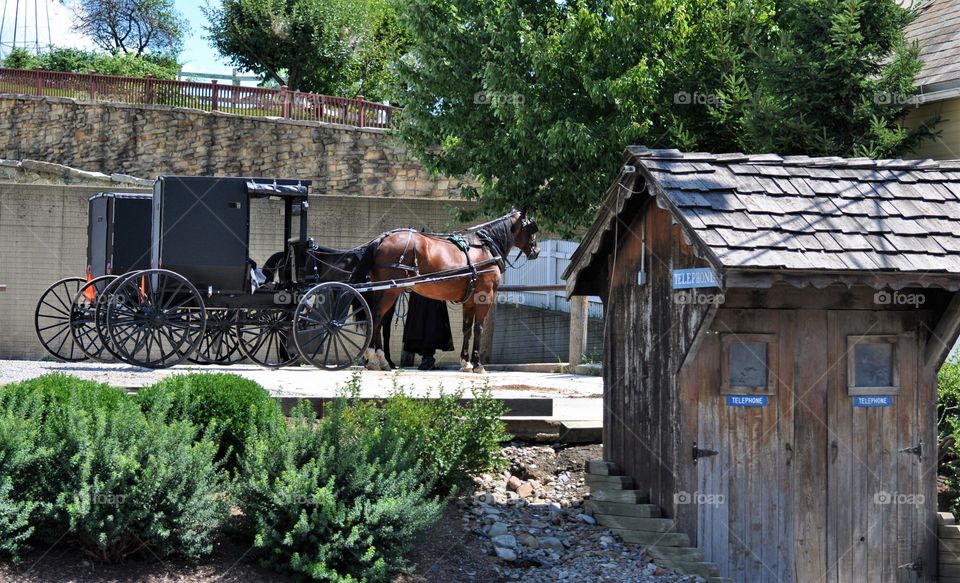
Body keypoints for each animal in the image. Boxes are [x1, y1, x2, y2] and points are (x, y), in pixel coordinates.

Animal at [350, 210, 540, 374]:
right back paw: (374, 358)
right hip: (391, 291)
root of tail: (381, 239)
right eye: (531, 228)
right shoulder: (484, 295)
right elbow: (478, 328)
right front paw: (477, 364)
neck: (486, 249)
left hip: (383, 289)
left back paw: (380, 360)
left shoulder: (469, 300)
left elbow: (466, 329)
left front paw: (465, 362)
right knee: (376, 317)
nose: (536, 251)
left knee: (379, 320)